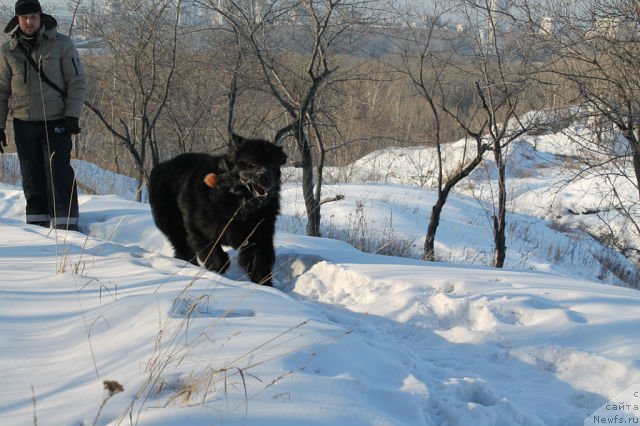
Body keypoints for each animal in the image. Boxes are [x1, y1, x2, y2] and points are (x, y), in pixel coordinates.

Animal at [149, 134, 286, 286]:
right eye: (252, 163)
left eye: (272, 165)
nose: (264, 176)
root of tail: (161, 166)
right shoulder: (198, 230)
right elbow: (216, 256)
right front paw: (218, 270)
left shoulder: (260, 234)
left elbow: (260, 261)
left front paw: (264, 285)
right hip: (174, 227)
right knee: (183, 248)